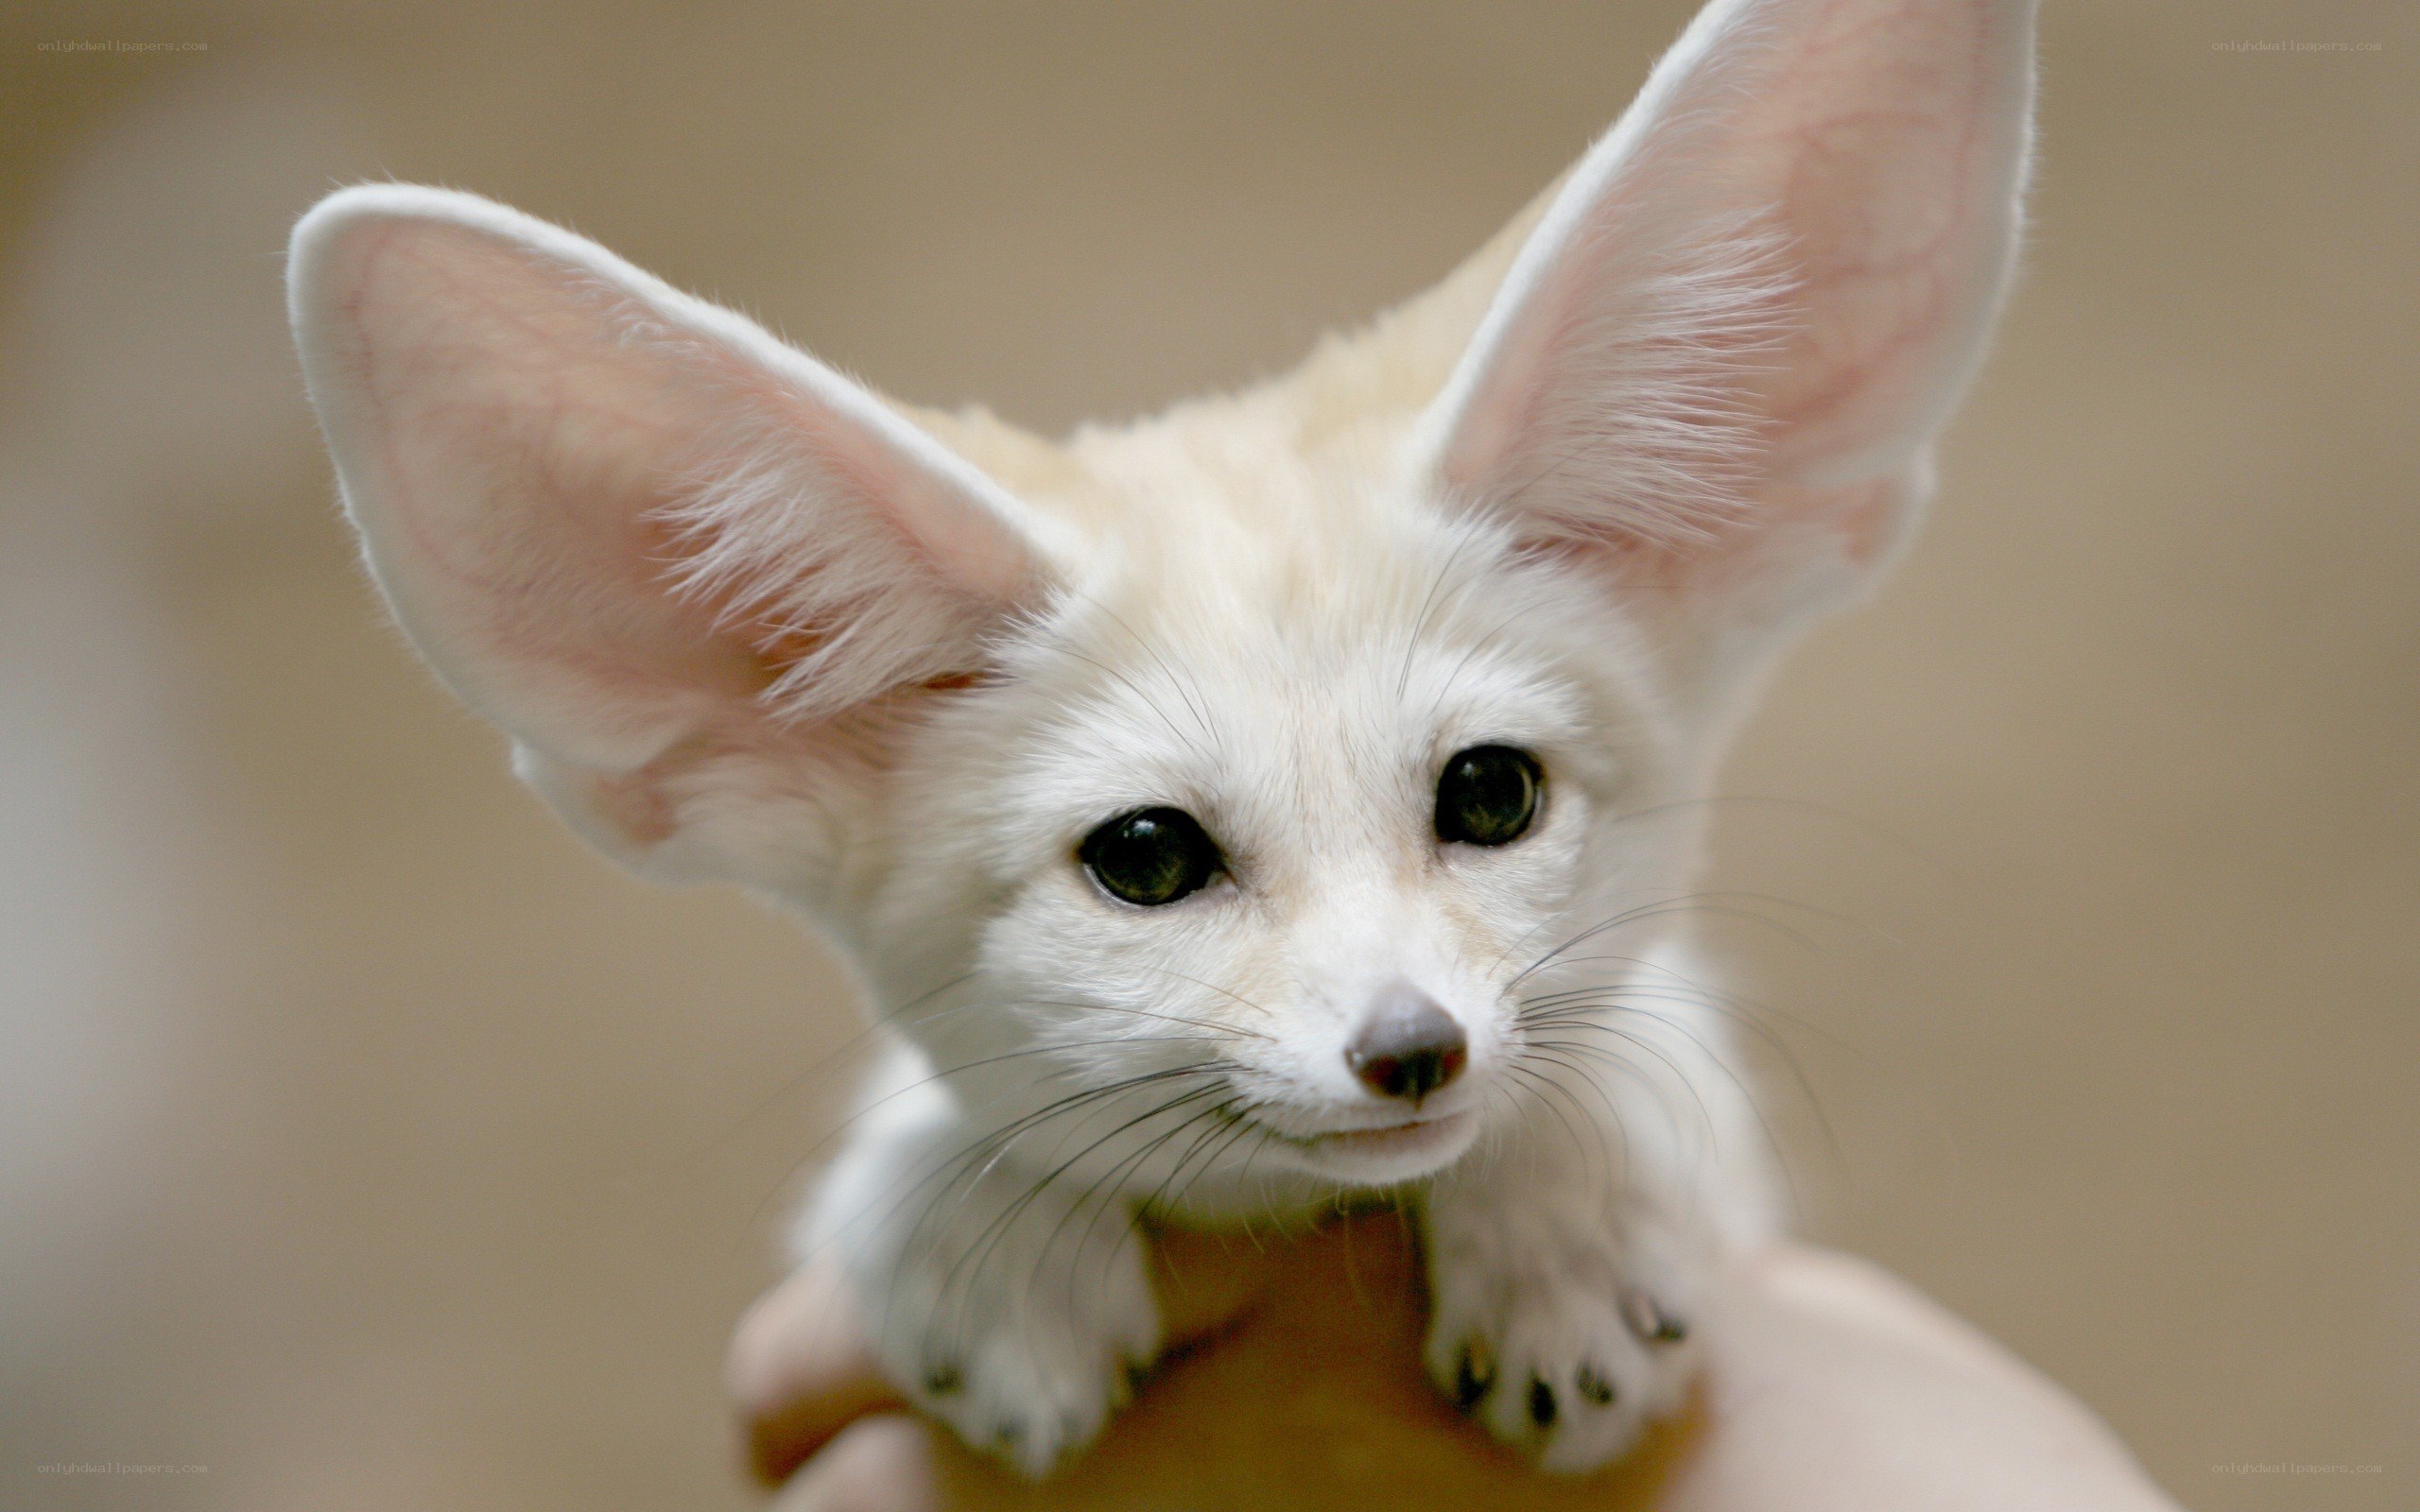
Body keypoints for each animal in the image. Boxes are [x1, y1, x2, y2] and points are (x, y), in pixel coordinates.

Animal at [287, 0, 2036, 1479]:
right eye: (1144, 858)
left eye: (1491, 793)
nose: (1414, 1049)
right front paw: (981, 1227)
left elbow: (1627, 1040)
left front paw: (1565, 1220)